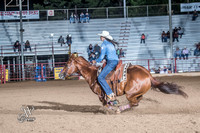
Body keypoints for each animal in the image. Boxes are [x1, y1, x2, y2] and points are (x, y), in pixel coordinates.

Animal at [59, 54, 188, 112]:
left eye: (67, 64)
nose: (60, 74)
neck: (93, 74)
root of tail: (148, 75)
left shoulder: (101, 95)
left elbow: (105, 104)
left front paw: (112, 108)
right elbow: (107, 103)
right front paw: (113, 104)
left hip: (130, 94)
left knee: (134, 103)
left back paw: (119, 109)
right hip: (137, 93)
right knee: (137, 102)